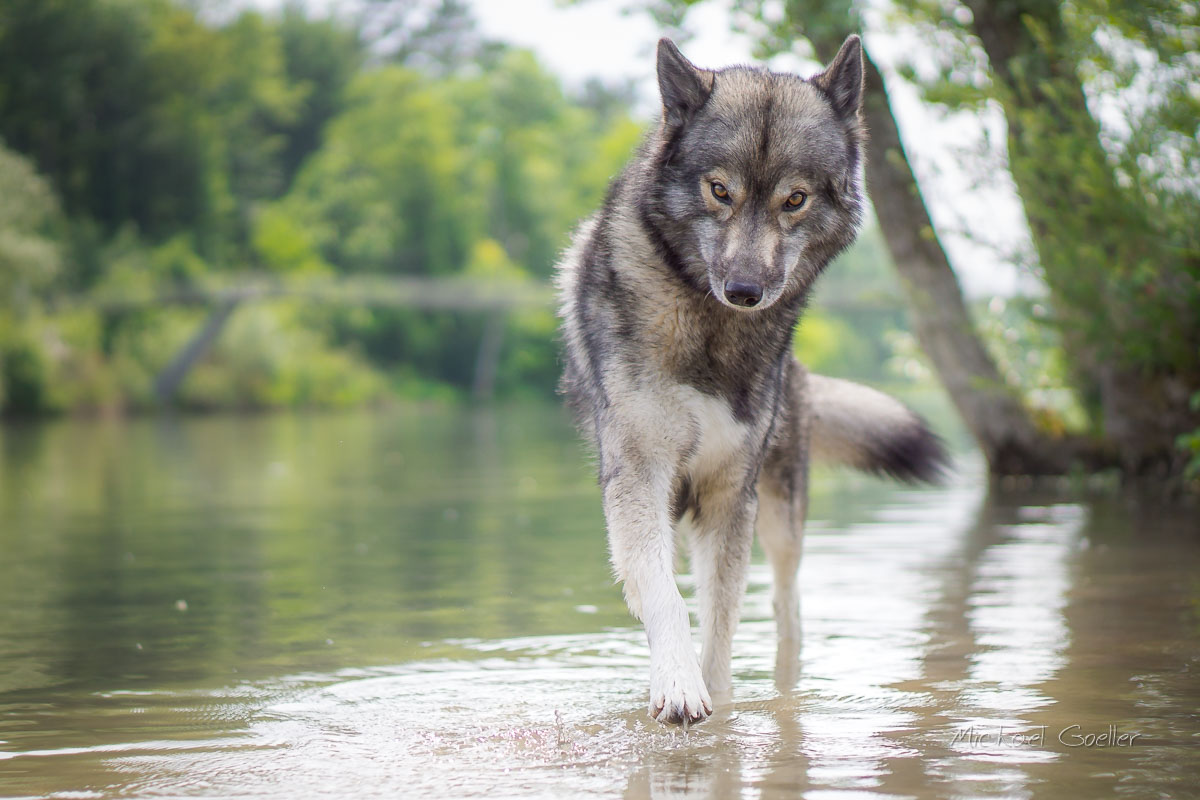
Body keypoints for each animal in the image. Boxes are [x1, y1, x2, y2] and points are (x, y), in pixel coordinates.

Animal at [554, 35, 945, 724]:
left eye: (795, 199)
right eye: (719, 190)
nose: (744, 290)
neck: (711, 329)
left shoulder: (729, 494)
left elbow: (723, 618)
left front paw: (721, 698)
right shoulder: (641, 479)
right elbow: (668, 599)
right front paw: (680, 687)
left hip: (783, 517)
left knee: (788, 608)